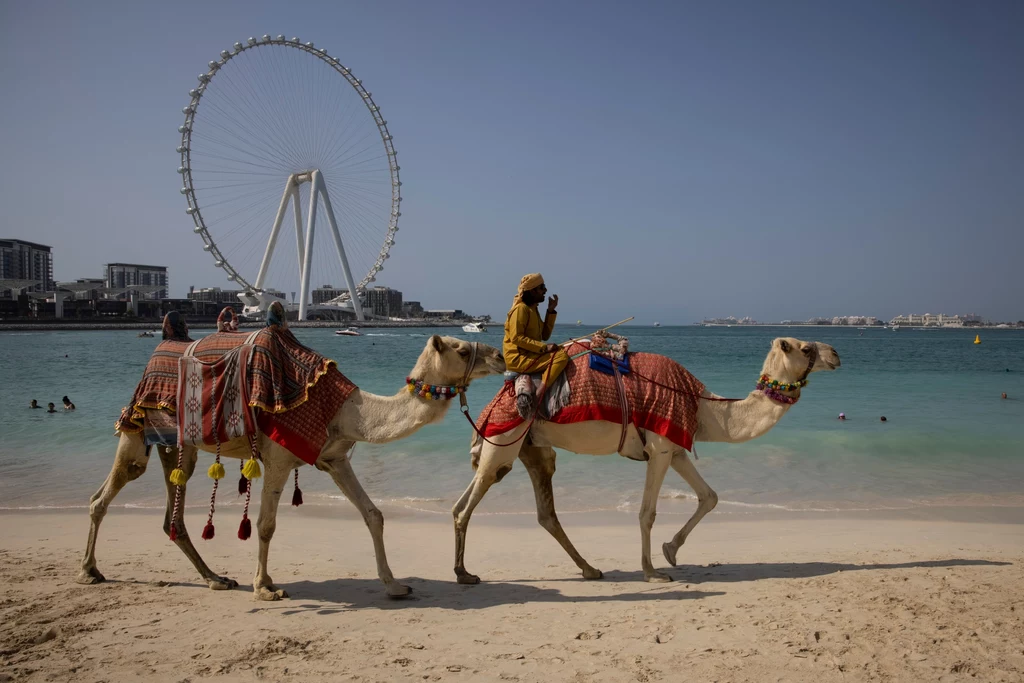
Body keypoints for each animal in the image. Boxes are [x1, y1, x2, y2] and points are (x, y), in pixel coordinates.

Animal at [78, 335, 503, 598]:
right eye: (460, 349)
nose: (499, 355)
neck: (348, 411)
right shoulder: (279, 458)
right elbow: (265, 524)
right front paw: (265, 587)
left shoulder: (333, 458)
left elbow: (373, 515)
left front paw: (395, 586)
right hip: (136, 430)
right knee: (106, 494)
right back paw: (89, 571)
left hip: (178, 446)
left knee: (173, 517)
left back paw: (216, 579)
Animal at [454, 335, 839, 581]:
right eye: (806, 348)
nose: (836, 353)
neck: (704, 407)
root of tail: (491, 405)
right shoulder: (659, 448)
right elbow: (647, 513)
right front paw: (653, 572)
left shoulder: (677, 448)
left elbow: (710, 496)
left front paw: (671, 551)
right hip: (502, 441)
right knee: (465, 506)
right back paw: (463, 574)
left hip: (530, 448)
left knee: (543, 511)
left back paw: (590, 569)